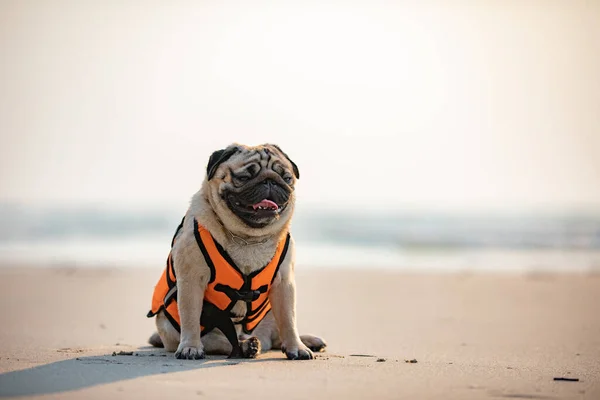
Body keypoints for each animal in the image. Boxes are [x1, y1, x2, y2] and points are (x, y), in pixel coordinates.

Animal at [147, 143, 326, 360]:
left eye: (286, 178)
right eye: (244, 177)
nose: (270, 181)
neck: (249, 237)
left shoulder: (285, 284)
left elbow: (289, 321)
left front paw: (297, 348)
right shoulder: (191, 280)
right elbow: (190, 318)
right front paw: (190, 347)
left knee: (279, 333)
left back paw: (308, 341)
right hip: (180, 329)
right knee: (220, 341)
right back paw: (246, 346)